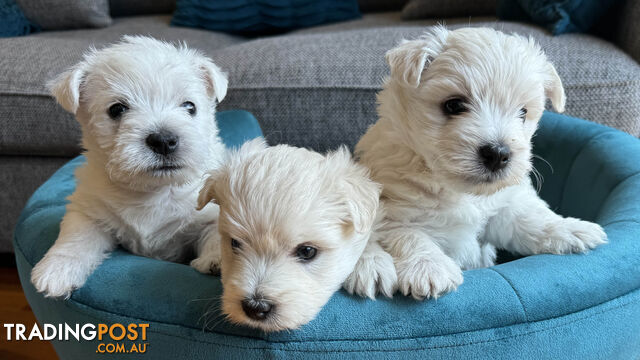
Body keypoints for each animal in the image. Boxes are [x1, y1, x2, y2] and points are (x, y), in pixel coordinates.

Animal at [31, 35, 230, 298]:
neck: (154, 191)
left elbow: (216, 233)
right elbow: (76, 235)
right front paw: (56, 270)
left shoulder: (209, 211)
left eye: (190, 107)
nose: (164, 140)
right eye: (117, 109)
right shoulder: (90, 211)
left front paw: (216, 261)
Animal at [352, 26, 608, 300]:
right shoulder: (394, 212)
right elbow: (409, 235)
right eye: (453, 104)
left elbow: (531, 220)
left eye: (523, 112)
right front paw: (429, 268)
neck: (459, 191)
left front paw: (572, 229)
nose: (498, 154)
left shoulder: (502, 211)